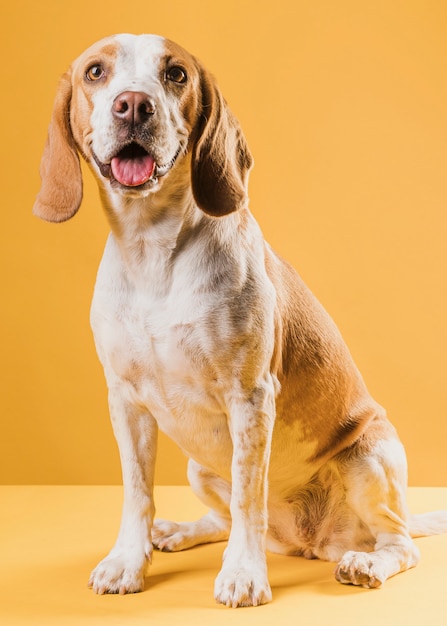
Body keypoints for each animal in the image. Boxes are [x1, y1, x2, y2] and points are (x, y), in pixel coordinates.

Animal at [32, 33, 447, 604]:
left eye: (176, 74)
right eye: (96, 71)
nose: (134, 105)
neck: (152, 251)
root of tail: (309, 542)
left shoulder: (249, 398)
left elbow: (250, 494)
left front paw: (244, 574)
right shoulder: (126, 402)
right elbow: (137, 493)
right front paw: (127, 561)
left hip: (367, 458)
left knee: (400, 544)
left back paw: (366, 562)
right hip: (198, 468)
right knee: (221, 519)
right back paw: (179, 531)